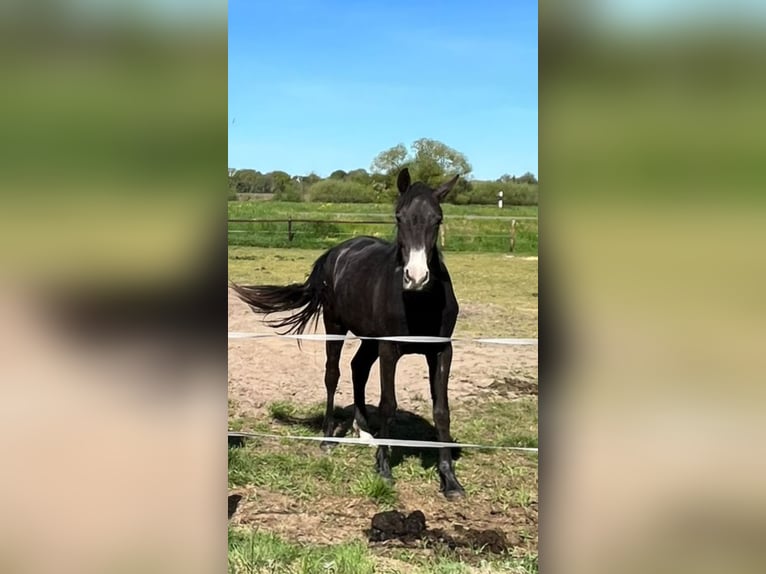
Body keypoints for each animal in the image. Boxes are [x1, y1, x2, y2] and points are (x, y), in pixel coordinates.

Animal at [231, 167, 465, 499]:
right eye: (399, 217)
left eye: (438, 219)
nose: (416, 277)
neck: (419, 302)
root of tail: (336, 251)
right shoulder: (389, 349)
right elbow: (388, 405)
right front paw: (384, 468)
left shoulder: (442, 350)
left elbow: (441, 410)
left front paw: (450, 480)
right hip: (336, 327)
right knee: (333, 375)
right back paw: (328, 439)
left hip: (368, 338)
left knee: (358, 368)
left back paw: (364, 431)